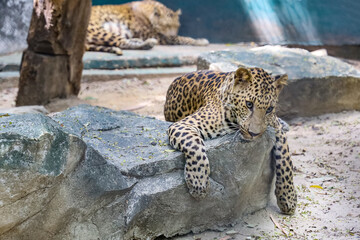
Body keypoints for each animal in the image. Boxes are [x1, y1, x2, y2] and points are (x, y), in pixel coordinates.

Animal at [165, 66, 296, 215]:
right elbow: (194, 146)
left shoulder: (275, 126)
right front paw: (198, 183)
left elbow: (285, 159)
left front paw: (288, 197)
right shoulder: (184, 124)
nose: (254, 134)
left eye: (269, 109)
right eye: (249, 104)